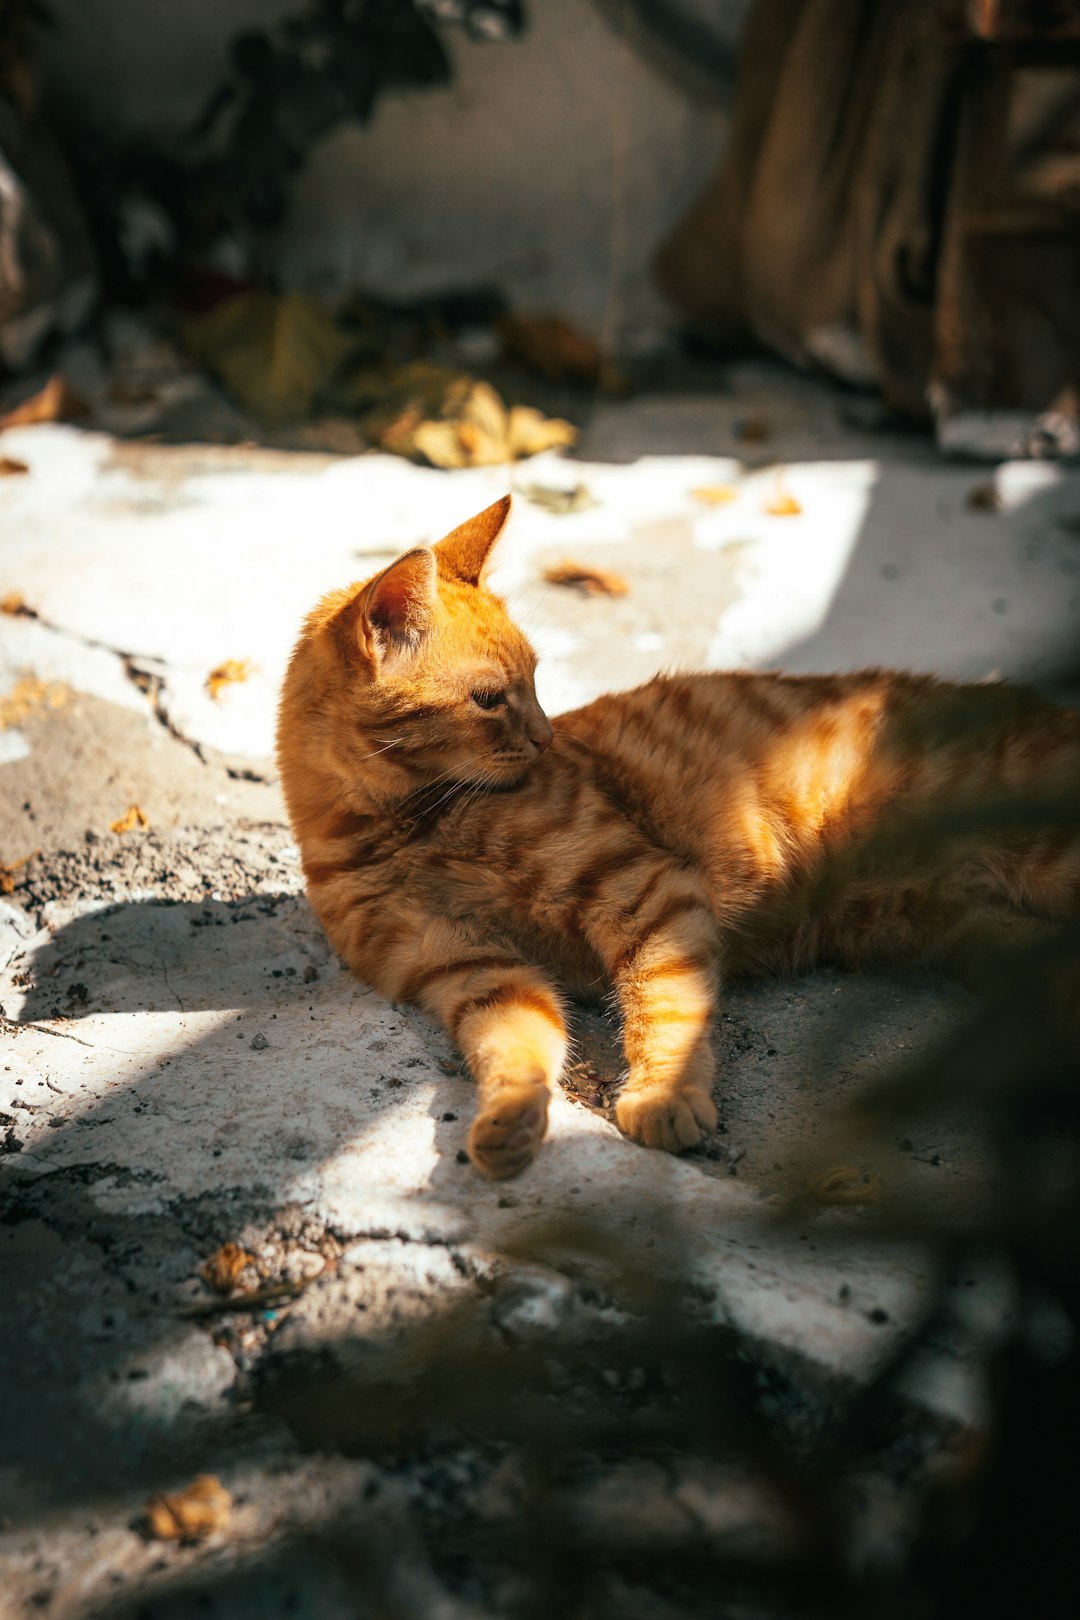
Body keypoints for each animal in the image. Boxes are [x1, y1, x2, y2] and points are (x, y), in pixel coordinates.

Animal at [275, 492, 1080, 1179]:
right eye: (489, 700)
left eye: (535, 681)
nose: (543, 739)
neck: (401, 830)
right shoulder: (469, 969)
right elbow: (517, 1047)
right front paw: (508, 1123)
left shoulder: (643, 891)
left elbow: (664, 1005)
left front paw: (664, 1096)